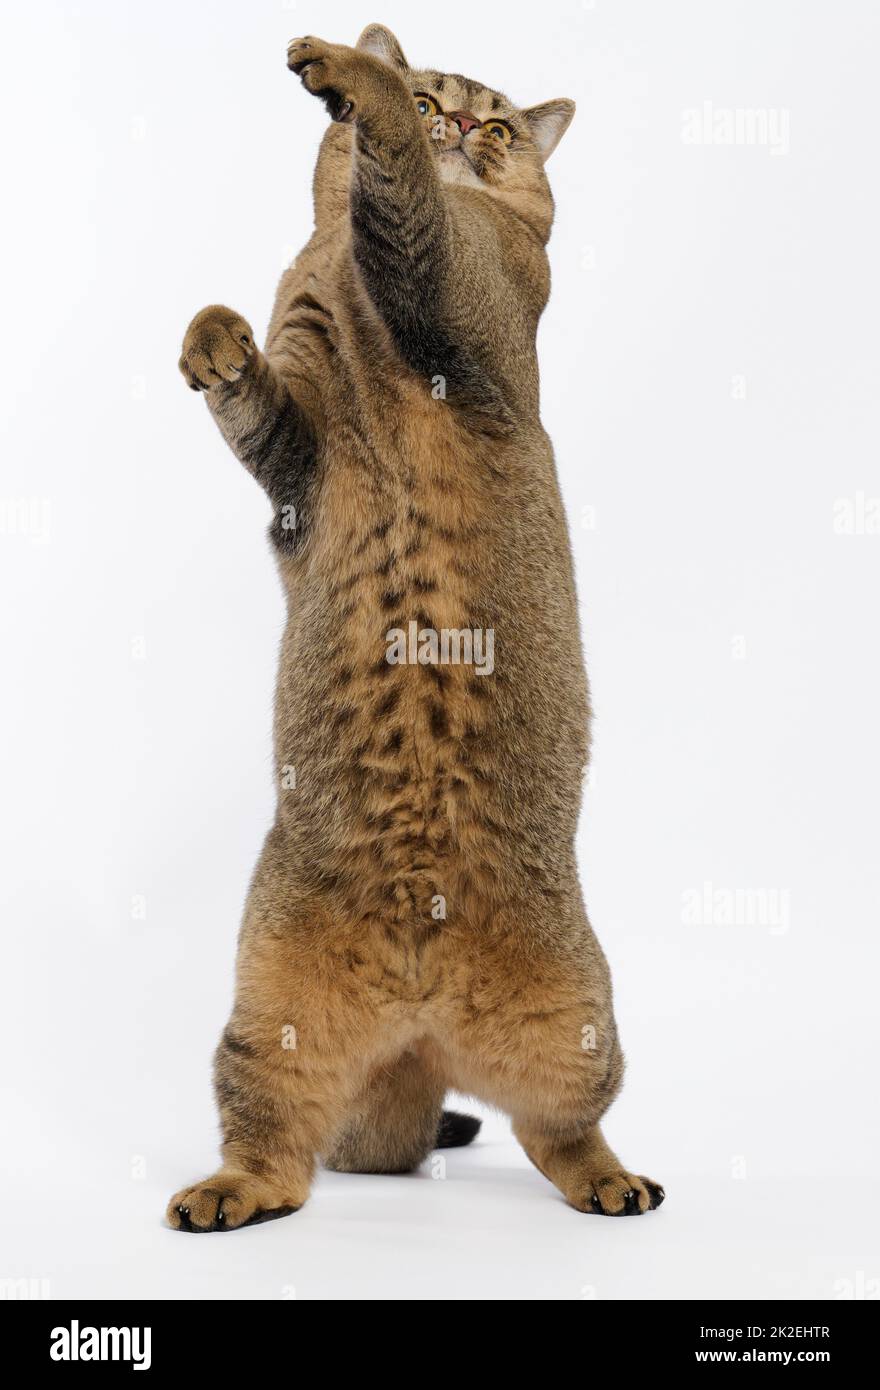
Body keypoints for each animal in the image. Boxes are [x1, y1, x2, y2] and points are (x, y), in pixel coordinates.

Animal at [164, 27, 661, 1234]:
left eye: (496, 126)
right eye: (444, 100)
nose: (458, 127)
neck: (339, 266)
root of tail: (420, 1020)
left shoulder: (456, 304)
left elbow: (410, 218)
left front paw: (353, 71)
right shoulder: (295, 454)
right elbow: (253, 389)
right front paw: (212, 339)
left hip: (584, 1023)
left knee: (558, 1131)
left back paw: (612, 1179)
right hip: (263, 1014)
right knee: (295, 1147)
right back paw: (229, 1191)